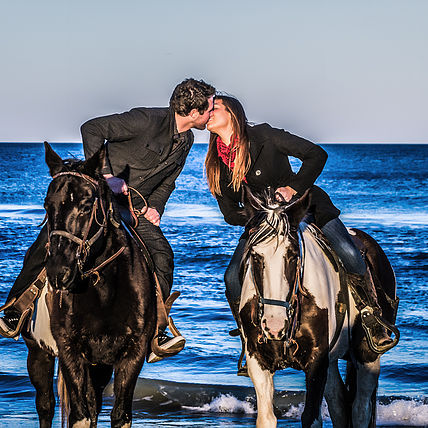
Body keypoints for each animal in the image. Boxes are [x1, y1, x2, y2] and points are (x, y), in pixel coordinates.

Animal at [22, 144, 156, 428]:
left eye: (85, 205)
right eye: (47, 205)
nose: (58, 272)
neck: (103, 291)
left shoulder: (132, 353)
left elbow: (119, 415)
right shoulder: (70, 351)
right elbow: (80, 416)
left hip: (100, 367)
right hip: (38, 353)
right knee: (45, 405)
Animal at [241, 191, 398, 428]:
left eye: (293, 254)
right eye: (255, 255)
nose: (274, 325)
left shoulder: (316, 362)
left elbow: (311, 418)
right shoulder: (258, 362)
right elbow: (266, 418)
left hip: (367, 356)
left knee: (360, 409)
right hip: (332, 362)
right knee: (339, 404)